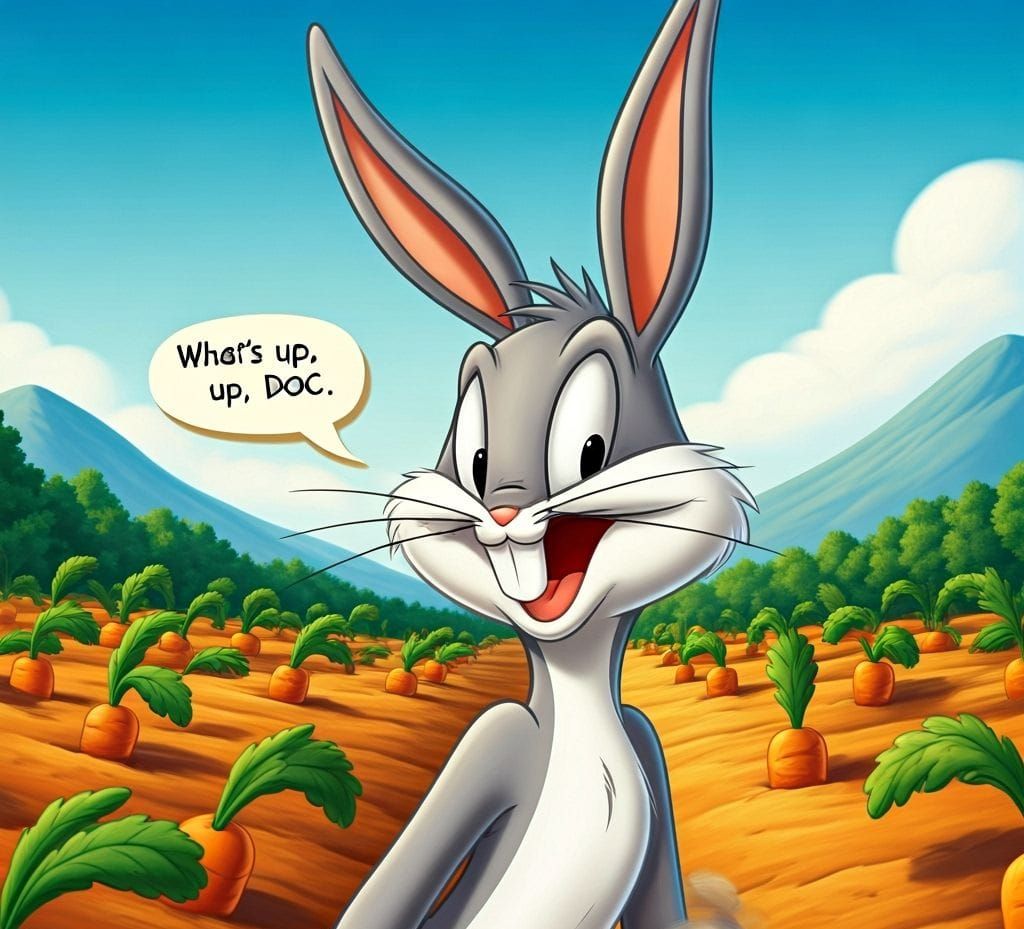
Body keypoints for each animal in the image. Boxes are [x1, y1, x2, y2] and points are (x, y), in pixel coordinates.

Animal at [307, 0, 754, 927]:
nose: (506, 508)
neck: (581, 705)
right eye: (475, 457)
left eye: (590, 447)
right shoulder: (495, 736)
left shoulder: (645, 742)